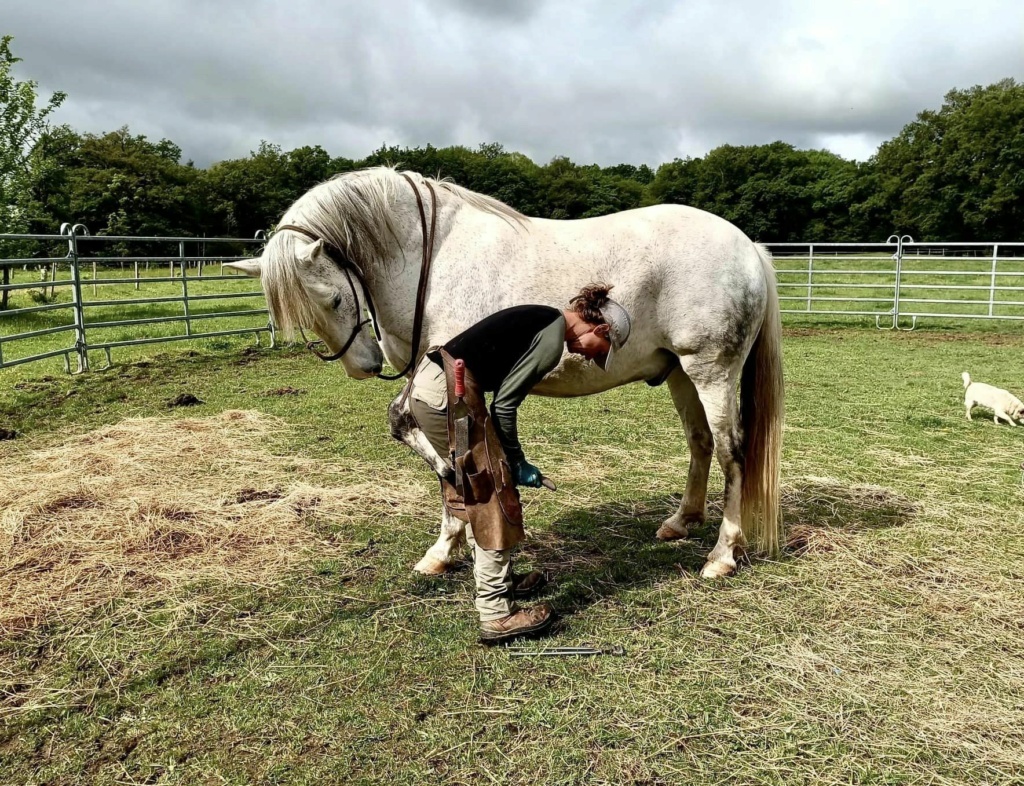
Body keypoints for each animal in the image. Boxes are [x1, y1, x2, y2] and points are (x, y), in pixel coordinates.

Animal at [226, 167, 782, 577]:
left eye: (336, 298)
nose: (364, 366)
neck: (429, 254)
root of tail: (747, 246)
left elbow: (435, 441)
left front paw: (458, 538)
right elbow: (414, 430)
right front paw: (450, 543)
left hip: (711, 371)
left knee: (731, 450)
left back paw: (721, 555)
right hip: (680, 374)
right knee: (700, 442)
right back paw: (681, 522)